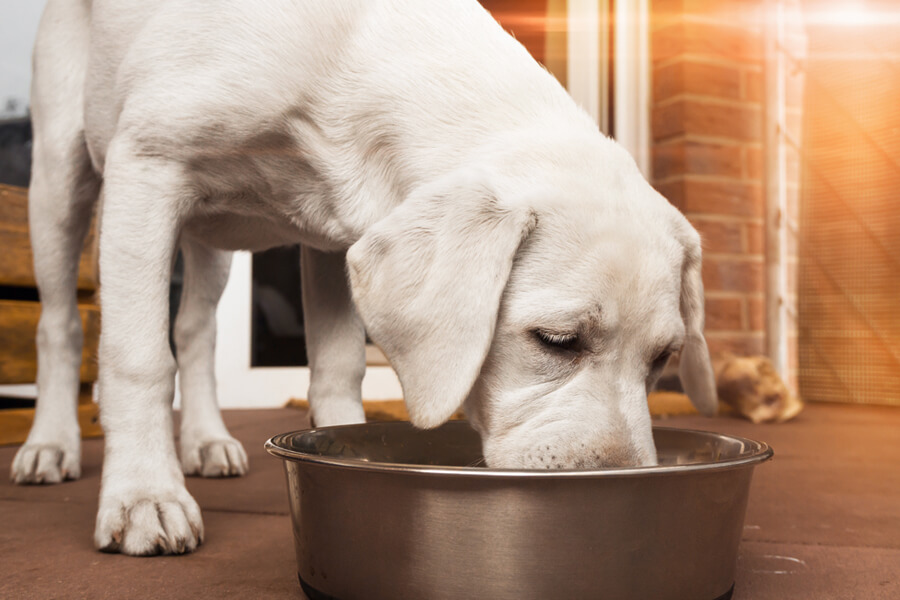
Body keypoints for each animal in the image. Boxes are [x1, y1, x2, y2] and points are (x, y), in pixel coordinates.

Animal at [8, 0, 716, 556]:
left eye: (662, 360)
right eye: (557, 341)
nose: (621, 486)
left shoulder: (334, 239)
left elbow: (338, 367)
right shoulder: (148, 164)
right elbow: (137, 359)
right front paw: (143, 497)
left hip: (209, 240)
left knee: (196, 331)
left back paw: (207, 440)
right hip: (62, 178)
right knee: (60, 325)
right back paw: (50, 445)